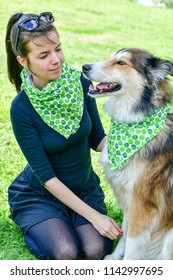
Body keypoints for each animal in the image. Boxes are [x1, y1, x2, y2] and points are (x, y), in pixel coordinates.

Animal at [82, 48, 173, 260]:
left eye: (121, 63)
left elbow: (133, 240)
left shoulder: (141, 202)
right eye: (110, 57)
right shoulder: (128, 198)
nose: (84, 67)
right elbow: (125, 232)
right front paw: (115, 258)